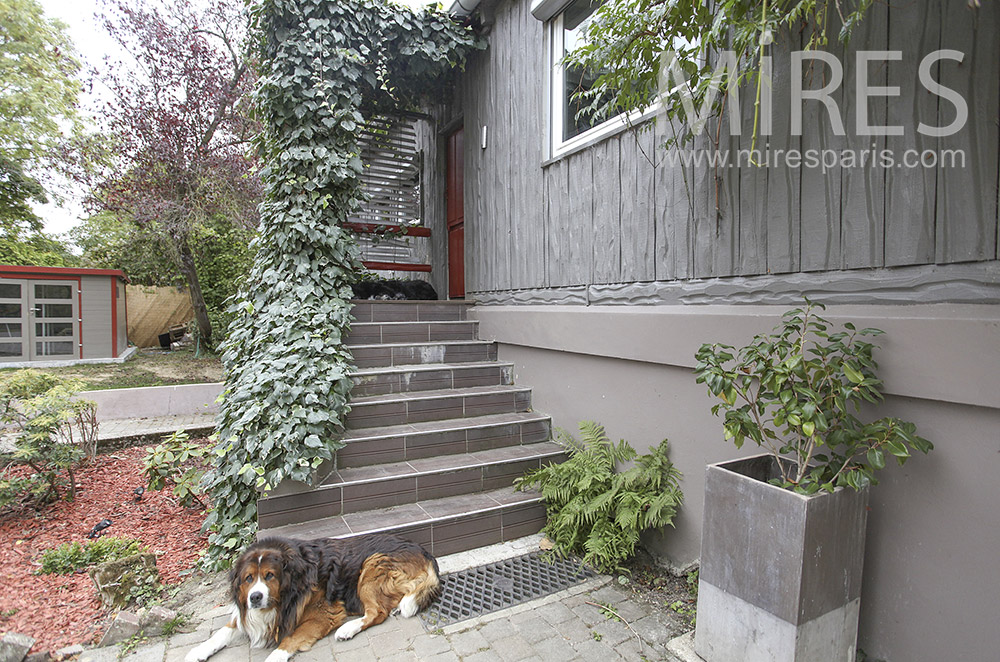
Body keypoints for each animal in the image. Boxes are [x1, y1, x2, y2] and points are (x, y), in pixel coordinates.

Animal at [185, 536, 442, 662]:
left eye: (269, 575)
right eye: (249, 578)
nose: (255, 597)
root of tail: (426, 553)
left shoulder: (322, 614)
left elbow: (290, 639)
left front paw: (275, 656)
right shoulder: (246, 612)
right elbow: (222, 631)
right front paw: (197, 651)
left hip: (371, 564)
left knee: (377, 613)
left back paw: (347, 629)